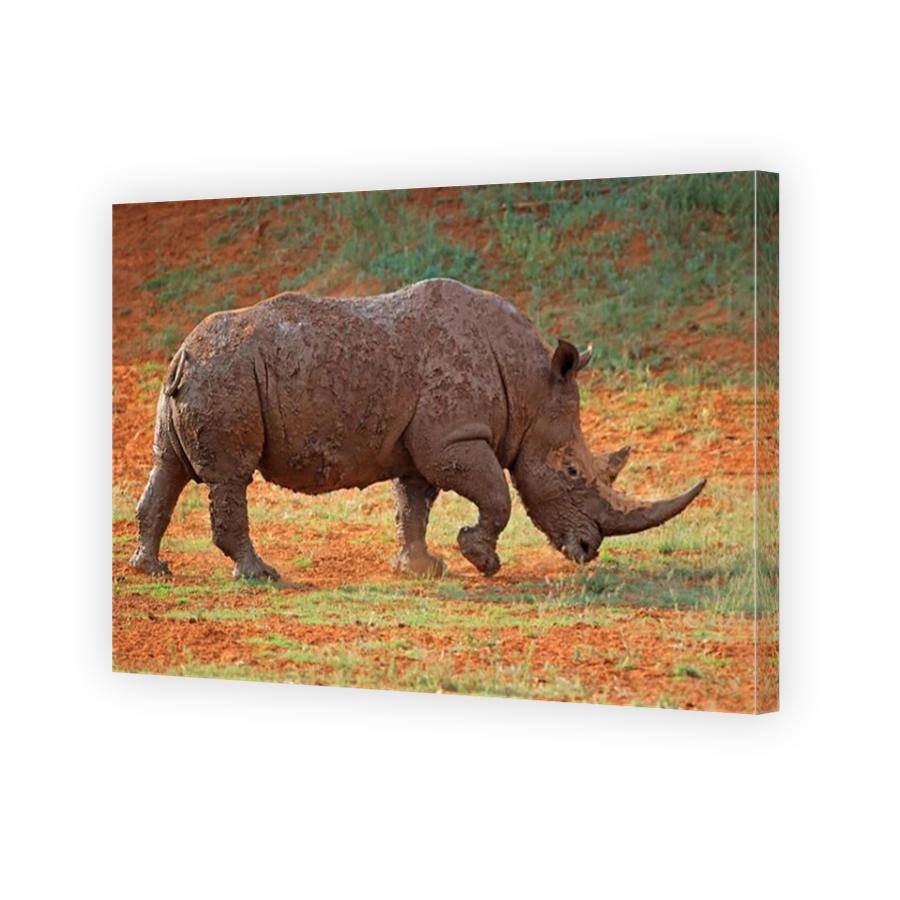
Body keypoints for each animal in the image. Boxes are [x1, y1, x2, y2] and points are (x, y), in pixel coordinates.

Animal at [129, 278, 704, 581]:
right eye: (571, 472)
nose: (588, 550)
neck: (531, 389)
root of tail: (183, 352)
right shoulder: (453, 437)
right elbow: (497, 496)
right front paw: (481, 559)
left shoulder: (423, 444)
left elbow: (414, 504)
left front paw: (422, 568)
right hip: (226, 376)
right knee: (230, 476)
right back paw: (262, 577)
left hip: (197, 377)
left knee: (168, 467)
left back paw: (151, 571)